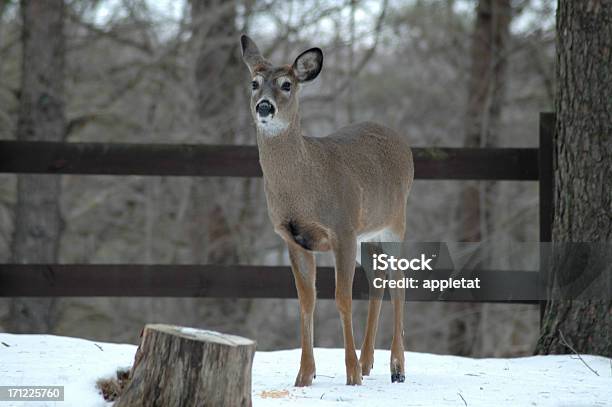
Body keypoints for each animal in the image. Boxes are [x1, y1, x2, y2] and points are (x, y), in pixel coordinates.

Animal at [241, 34, 414, 386]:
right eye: (254, 83)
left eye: (287, 84)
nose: (264, 106)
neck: (304, 188)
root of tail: (404, 143)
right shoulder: (293, 238)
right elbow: (306, 301)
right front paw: (305, 375)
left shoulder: (342, 229)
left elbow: (342, 298)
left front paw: (351, 374)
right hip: (367, 232)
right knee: (378, 278)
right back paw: (368, 362)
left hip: (395, 221)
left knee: (399, 281)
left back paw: (396, 367)